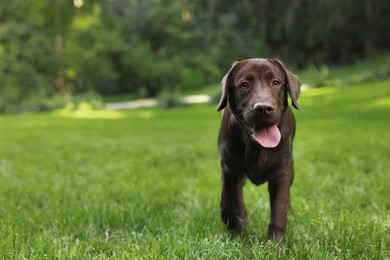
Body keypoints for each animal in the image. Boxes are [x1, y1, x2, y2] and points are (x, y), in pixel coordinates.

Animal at [218, 58, 300, 247]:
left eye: (276, 83)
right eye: (244, 85)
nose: (263, 108)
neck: (255, 146)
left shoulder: (282, 173)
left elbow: (279, 210)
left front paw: (276, 246)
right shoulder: (229, 168)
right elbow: (227, 203)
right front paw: (236, 228)